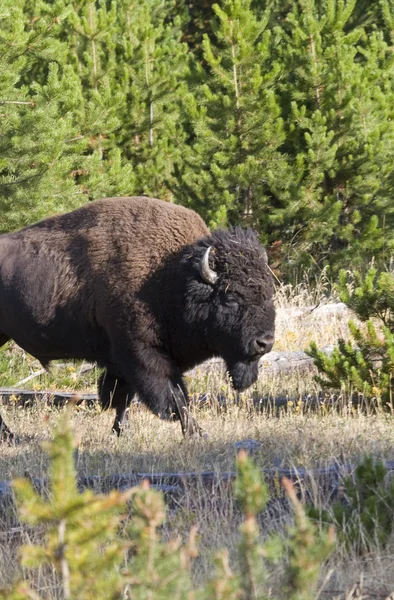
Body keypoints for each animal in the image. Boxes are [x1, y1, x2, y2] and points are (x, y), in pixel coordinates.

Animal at [0, 197, 274, 440]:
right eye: (231, 296)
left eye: (268, 292)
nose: (265, 343)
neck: (172, 274)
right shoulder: (142, 353)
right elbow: (174, 396)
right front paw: (197, 434)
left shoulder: (127, 360)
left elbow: (126, 396)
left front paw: (122, 432)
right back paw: (8, 435)